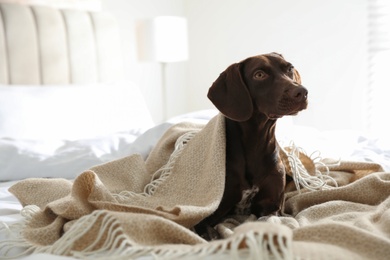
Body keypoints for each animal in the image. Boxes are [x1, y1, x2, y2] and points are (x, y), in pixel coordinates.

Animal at [195, 52, 308, 240]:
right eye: (259, 75)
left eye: (289, 69)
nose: (301, 92)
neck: (256, 141)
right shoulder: (209, 209)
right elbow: (206, 230)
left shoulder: (271, 207)